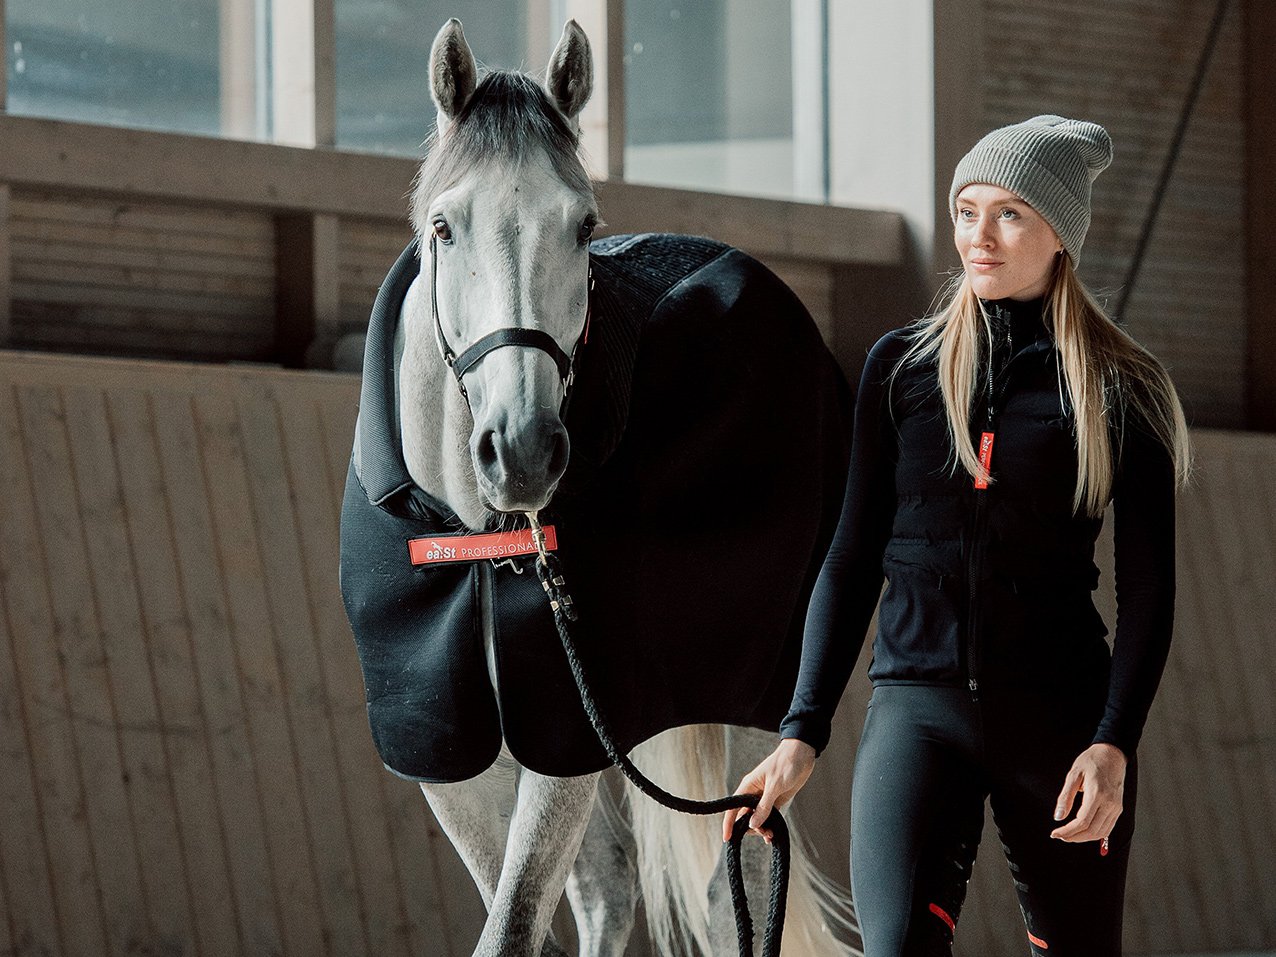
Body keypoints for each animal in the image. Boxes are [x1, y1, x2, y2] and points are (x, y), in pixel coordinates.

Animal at [340, 17, 859, 957]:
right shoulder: (451, 752)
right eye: (444, 226)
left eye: (584, 226)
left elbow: (513, 923)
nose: (522, 449)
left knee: (734, 885)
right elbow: (526, 920)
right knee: (613, 889)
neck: (480, 538)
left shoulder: (567, 730)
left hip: (754, 700)